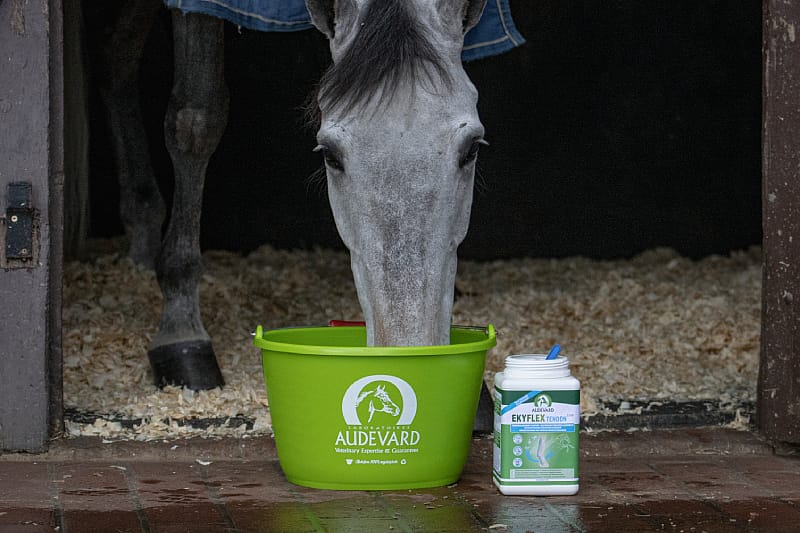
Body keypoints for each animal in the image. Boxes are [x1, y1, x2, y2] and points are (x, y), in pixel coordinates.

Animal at [83, 0, 523, 392]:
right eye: (329, 154)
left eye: (472, 149)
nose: (407, 348)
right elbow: (196, 117)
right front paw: (180, 332)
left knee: (114, 53)